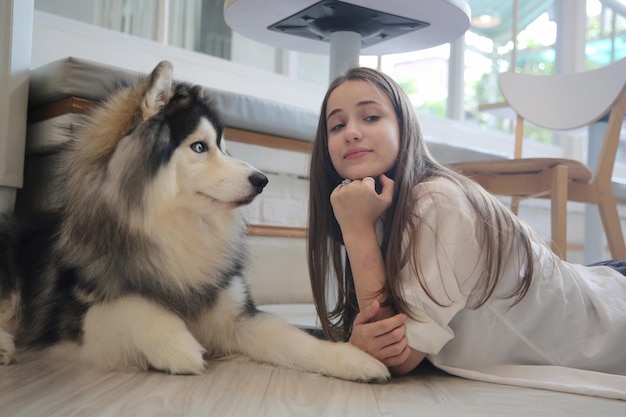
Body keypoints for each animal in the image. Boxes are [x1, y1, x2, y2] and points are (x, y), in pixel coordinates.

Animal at [0, 61, 390, 380]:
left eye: (222, 145)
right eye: (199, 147)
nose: (262, 180)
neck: (179, 231)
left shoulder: (235, 316)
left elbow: (293, 339)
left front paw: (351, 358)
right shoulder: (71, 326)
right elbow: (129, 304)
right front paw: (177, 344)